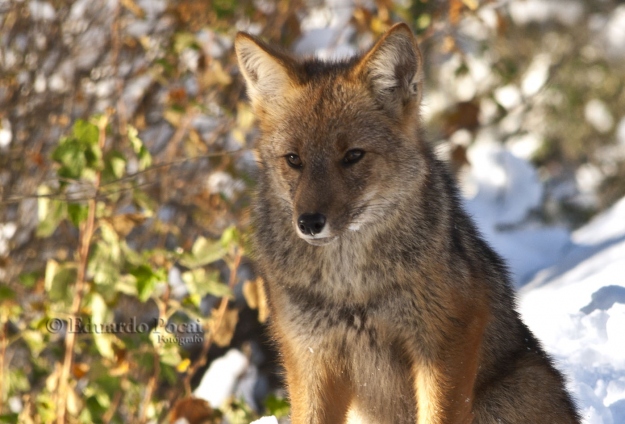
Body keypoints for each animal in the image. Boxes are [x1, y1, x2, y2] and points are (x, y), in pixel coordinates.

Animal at [234, 24, 580, 424]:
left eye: (353, 156)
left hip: (513, 392)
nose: (309, 222)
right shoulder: (311, 357)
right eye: (294, 159)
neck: (351, 290)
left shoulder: (444, 338)